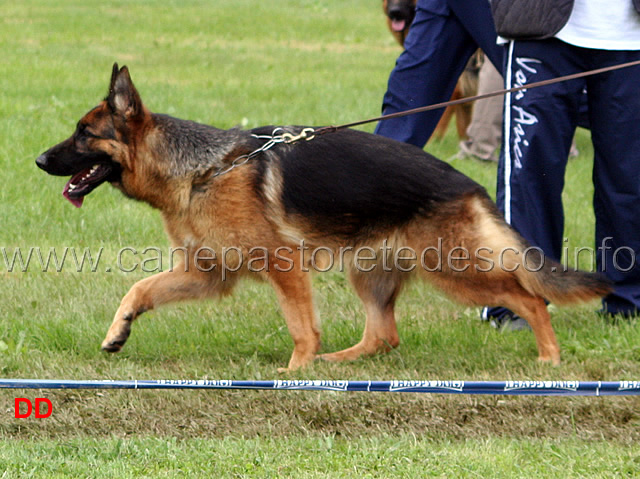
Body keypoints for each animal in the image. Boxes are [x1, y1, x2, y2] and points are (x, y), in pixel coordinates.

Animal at [36, 63, 608, 372]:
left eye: (85, 133)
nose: (39, 160)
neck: (202, 169)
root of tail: (468, 184)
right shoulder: (207, 273)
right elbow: (139, 289)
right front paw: (118, 331)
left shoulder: (283, 266)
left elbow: (300, 326)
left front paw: (295, 370)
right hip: (371, 272)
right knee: (383, 336)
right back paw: (338, 362)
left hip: (454, 270)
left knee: (529, 297)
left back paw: (550, 358)